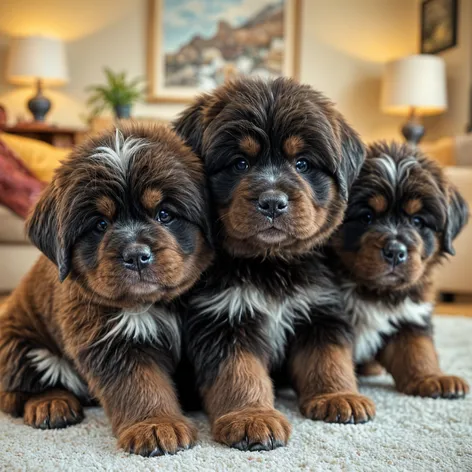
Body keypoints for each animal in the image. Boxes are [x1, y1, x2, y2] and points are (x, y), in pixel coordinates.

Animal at [0, 123, 212, 456]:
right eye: (100, 224)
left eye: (164, 214)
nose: (136, 255)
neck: (158, 303)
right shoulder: (111, 339)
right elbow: (140, 385)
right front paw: (156, 425)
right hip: (22, 344)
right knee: (19, 391)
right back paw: (51, 405)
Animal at [173, 75, 372, 452]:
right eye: (240, 163)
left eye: (302, 163)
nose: (273, 202)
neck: (270, 266)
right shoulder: (223, 318)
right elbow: (239, 373)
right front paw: (251, 417)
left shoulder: (319, 309)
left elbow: (328, 358)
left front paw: (337, 396)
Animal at [330, 141, 470, 398]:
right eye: (366, 216)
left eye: (417, 221)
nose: (395, 251)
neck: (374, 292)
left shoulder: (409, 313)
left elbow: (417, 349)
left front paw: (431, 377)